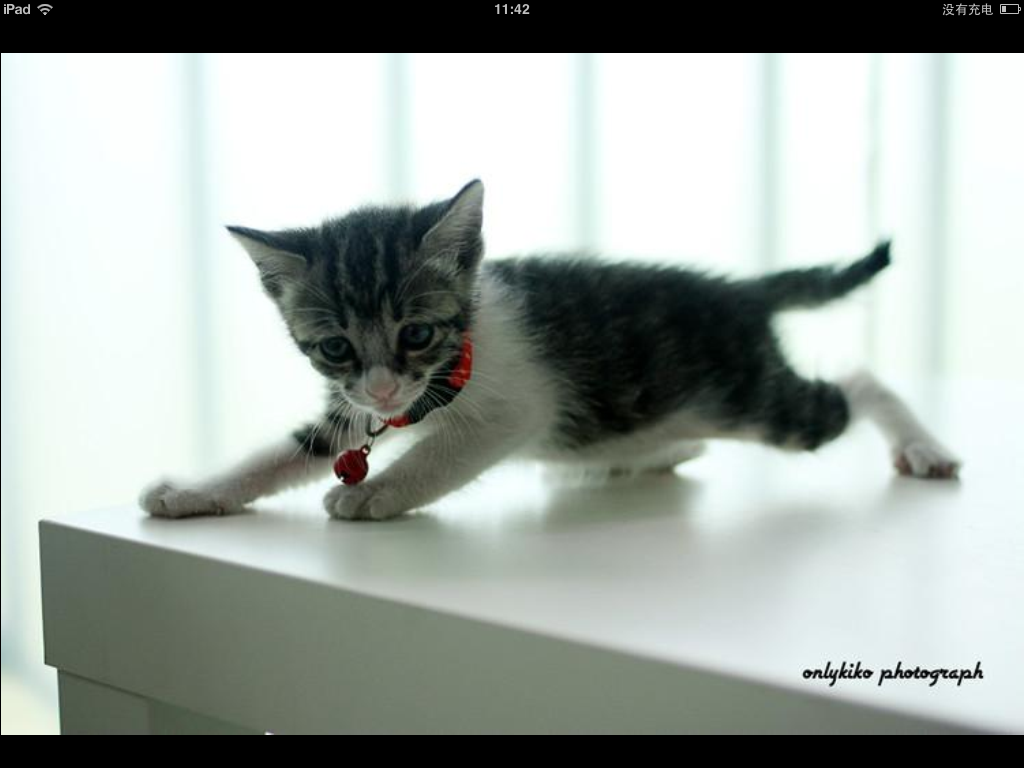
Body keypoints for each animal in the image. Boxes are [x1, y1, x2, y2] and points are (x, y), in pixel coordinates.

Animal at [141, 179, 961, 521]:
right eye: (335, 346)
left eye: (417, 333)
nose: (382, 392)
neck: (454, 364)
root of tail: (740, 293)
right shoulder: (351, 407)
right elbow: (289, 452)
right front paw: (194, 492)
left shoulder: (517, 407)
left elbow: (444, 452)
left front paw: (377, 491)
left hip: (752, 396)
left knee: (851, 384)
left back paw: (921, 446)